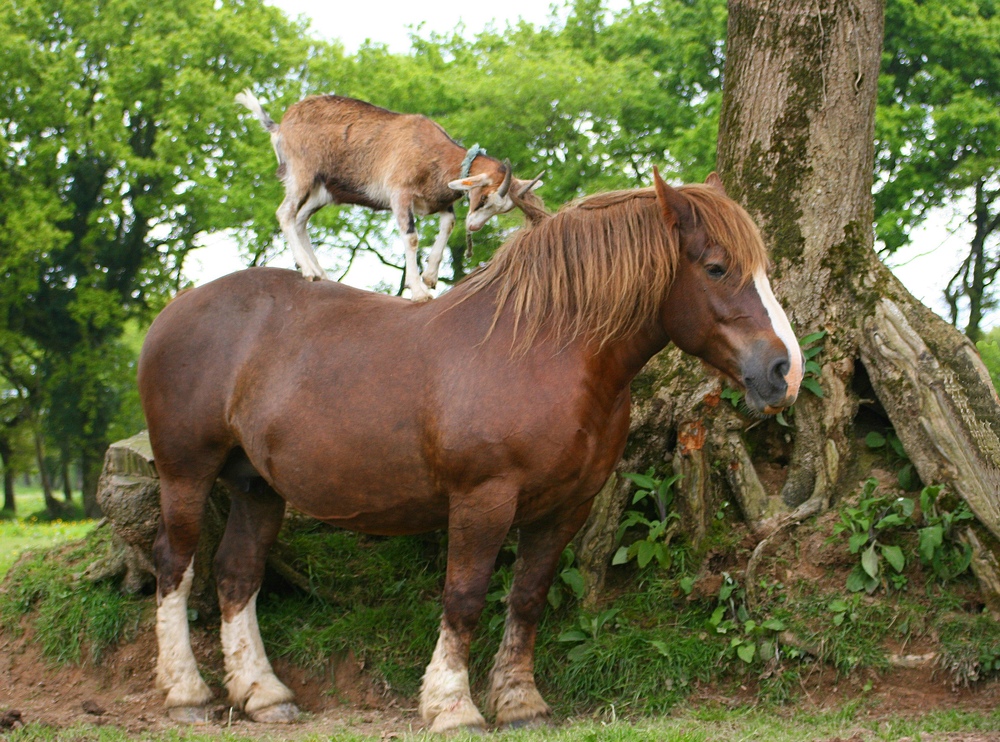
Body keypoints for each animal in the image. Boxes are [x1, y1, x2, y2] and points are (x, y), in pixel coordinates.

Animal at [137, 171, 800, 736]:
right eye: (716, 267)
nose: (784, 373)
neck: (542, 349)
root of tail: (172, 313)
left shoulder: (566, 507)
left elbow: (527, 599)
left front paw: (521, 702)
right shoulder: (484, 500)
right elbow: (464, 598)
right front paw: (452, 706)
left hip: (255, 485)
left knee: (236, 574)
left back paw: (263, 694)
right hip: (186, 473)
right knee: (175, 566)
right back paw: (187, 693)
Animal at [236, 91, 548, 300]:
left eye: (503, 209)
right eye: (483, 198)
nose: (474, 226)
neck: (432, 152)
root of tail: (279, 126)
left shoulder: (436, 199)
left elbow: (448, 224)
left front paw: (430, 276)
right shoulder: (400, 193)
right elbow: (411, 237)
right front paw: (419, 290)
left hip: (321, 190)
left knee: (300, 218)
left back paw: (319, 271)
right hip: (302, 172)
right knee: (286, 213)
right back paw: (309, 271)